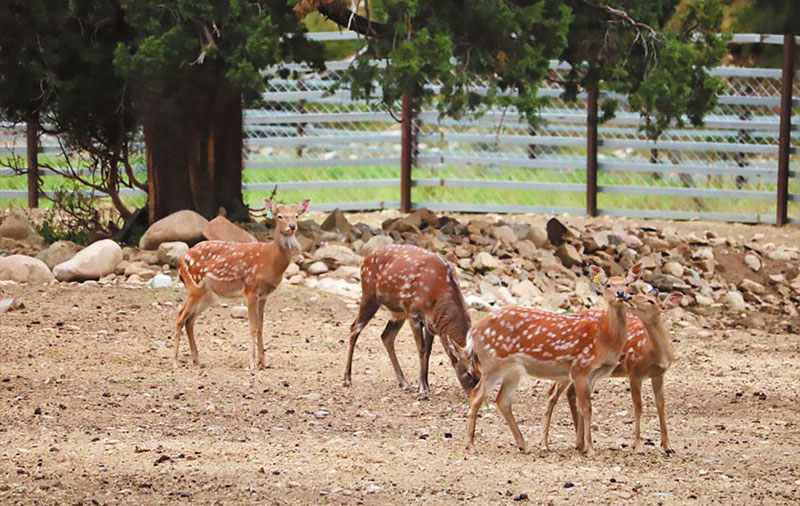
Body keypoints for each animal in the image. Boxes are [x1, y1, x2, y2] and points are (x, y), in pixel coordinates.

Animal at [173, 200, 310, 370]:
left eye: (297, 215)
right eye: (279, 216)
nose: (292, 226)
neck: (270, 260)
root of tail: (180, 261)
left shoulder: (264, 295)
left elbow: (261, 326)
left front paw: (263, 362)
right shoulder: (250, 289)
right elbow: (252, 326)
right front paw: (252, 363)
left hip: (208, 295)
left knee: (189, 319)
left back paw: (197, 360)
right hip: (194, 285)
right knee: (180, 316)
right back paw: (175, 361)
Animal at [342, 245, 478, 400]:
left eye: (480, 373)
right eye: (469, 373)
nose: (474, 395)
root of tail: (366, 258)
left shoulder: (431, 324)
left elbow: (428, 352)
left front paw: (425, 386)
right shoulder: (414, 314)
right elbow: (421, 349)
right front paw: (423, 390)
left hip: (398, 312)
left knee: (386, 336)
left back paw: (404, 383)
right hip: (369, 295)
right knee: (354, 328)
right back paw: (347, 379)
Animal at [450, 262, 644, 456]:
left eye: (627, 284)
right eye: (608, 284)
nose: (621, 293)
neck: (603, 340)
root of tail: (472, 333)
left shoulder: (592, 375)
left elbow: (584, 408)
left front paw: (584, 446)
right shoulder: (580, 369)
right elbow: (587, 409)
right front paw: (589, 449)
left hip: (512, 369)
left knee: (502, 400)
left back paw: (524, 445)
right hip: (492, 364)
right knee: (477, 395)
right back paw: (471, 445)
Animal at [536, 288, 680, 454]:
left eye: (650, 300)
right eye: (637, 294)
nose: (628, 297)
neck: (655, 353)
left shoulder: (659, 374)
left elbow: (661, 405)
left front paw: (668, 447)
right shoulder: (633, 371)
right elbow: (638, 406)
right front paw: (638, 446)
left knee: (571, 394)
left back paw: (580, 442)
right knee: (552, 394)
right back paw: (545, 445)